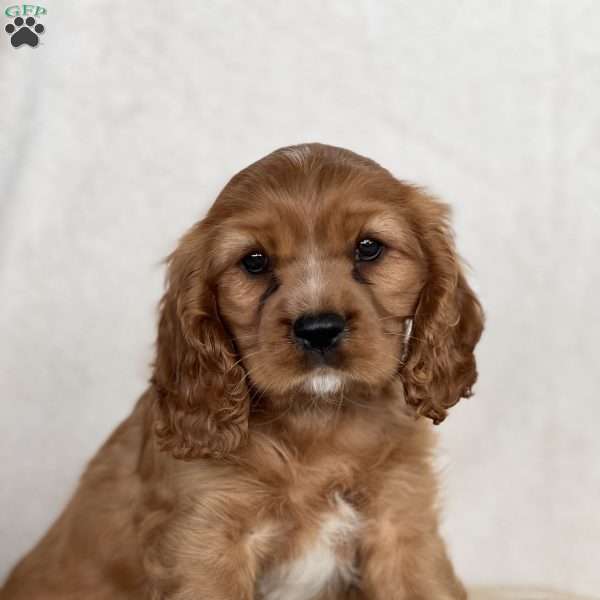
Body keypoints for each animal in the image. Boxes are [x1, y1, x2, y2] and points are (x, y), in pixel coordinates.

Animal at [1, 145, 482, 600]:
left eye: (369, 248)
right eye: (254, 261)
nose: (319, 329)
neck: (317, 422)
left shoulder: (401, 524)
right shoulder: (206, 540)